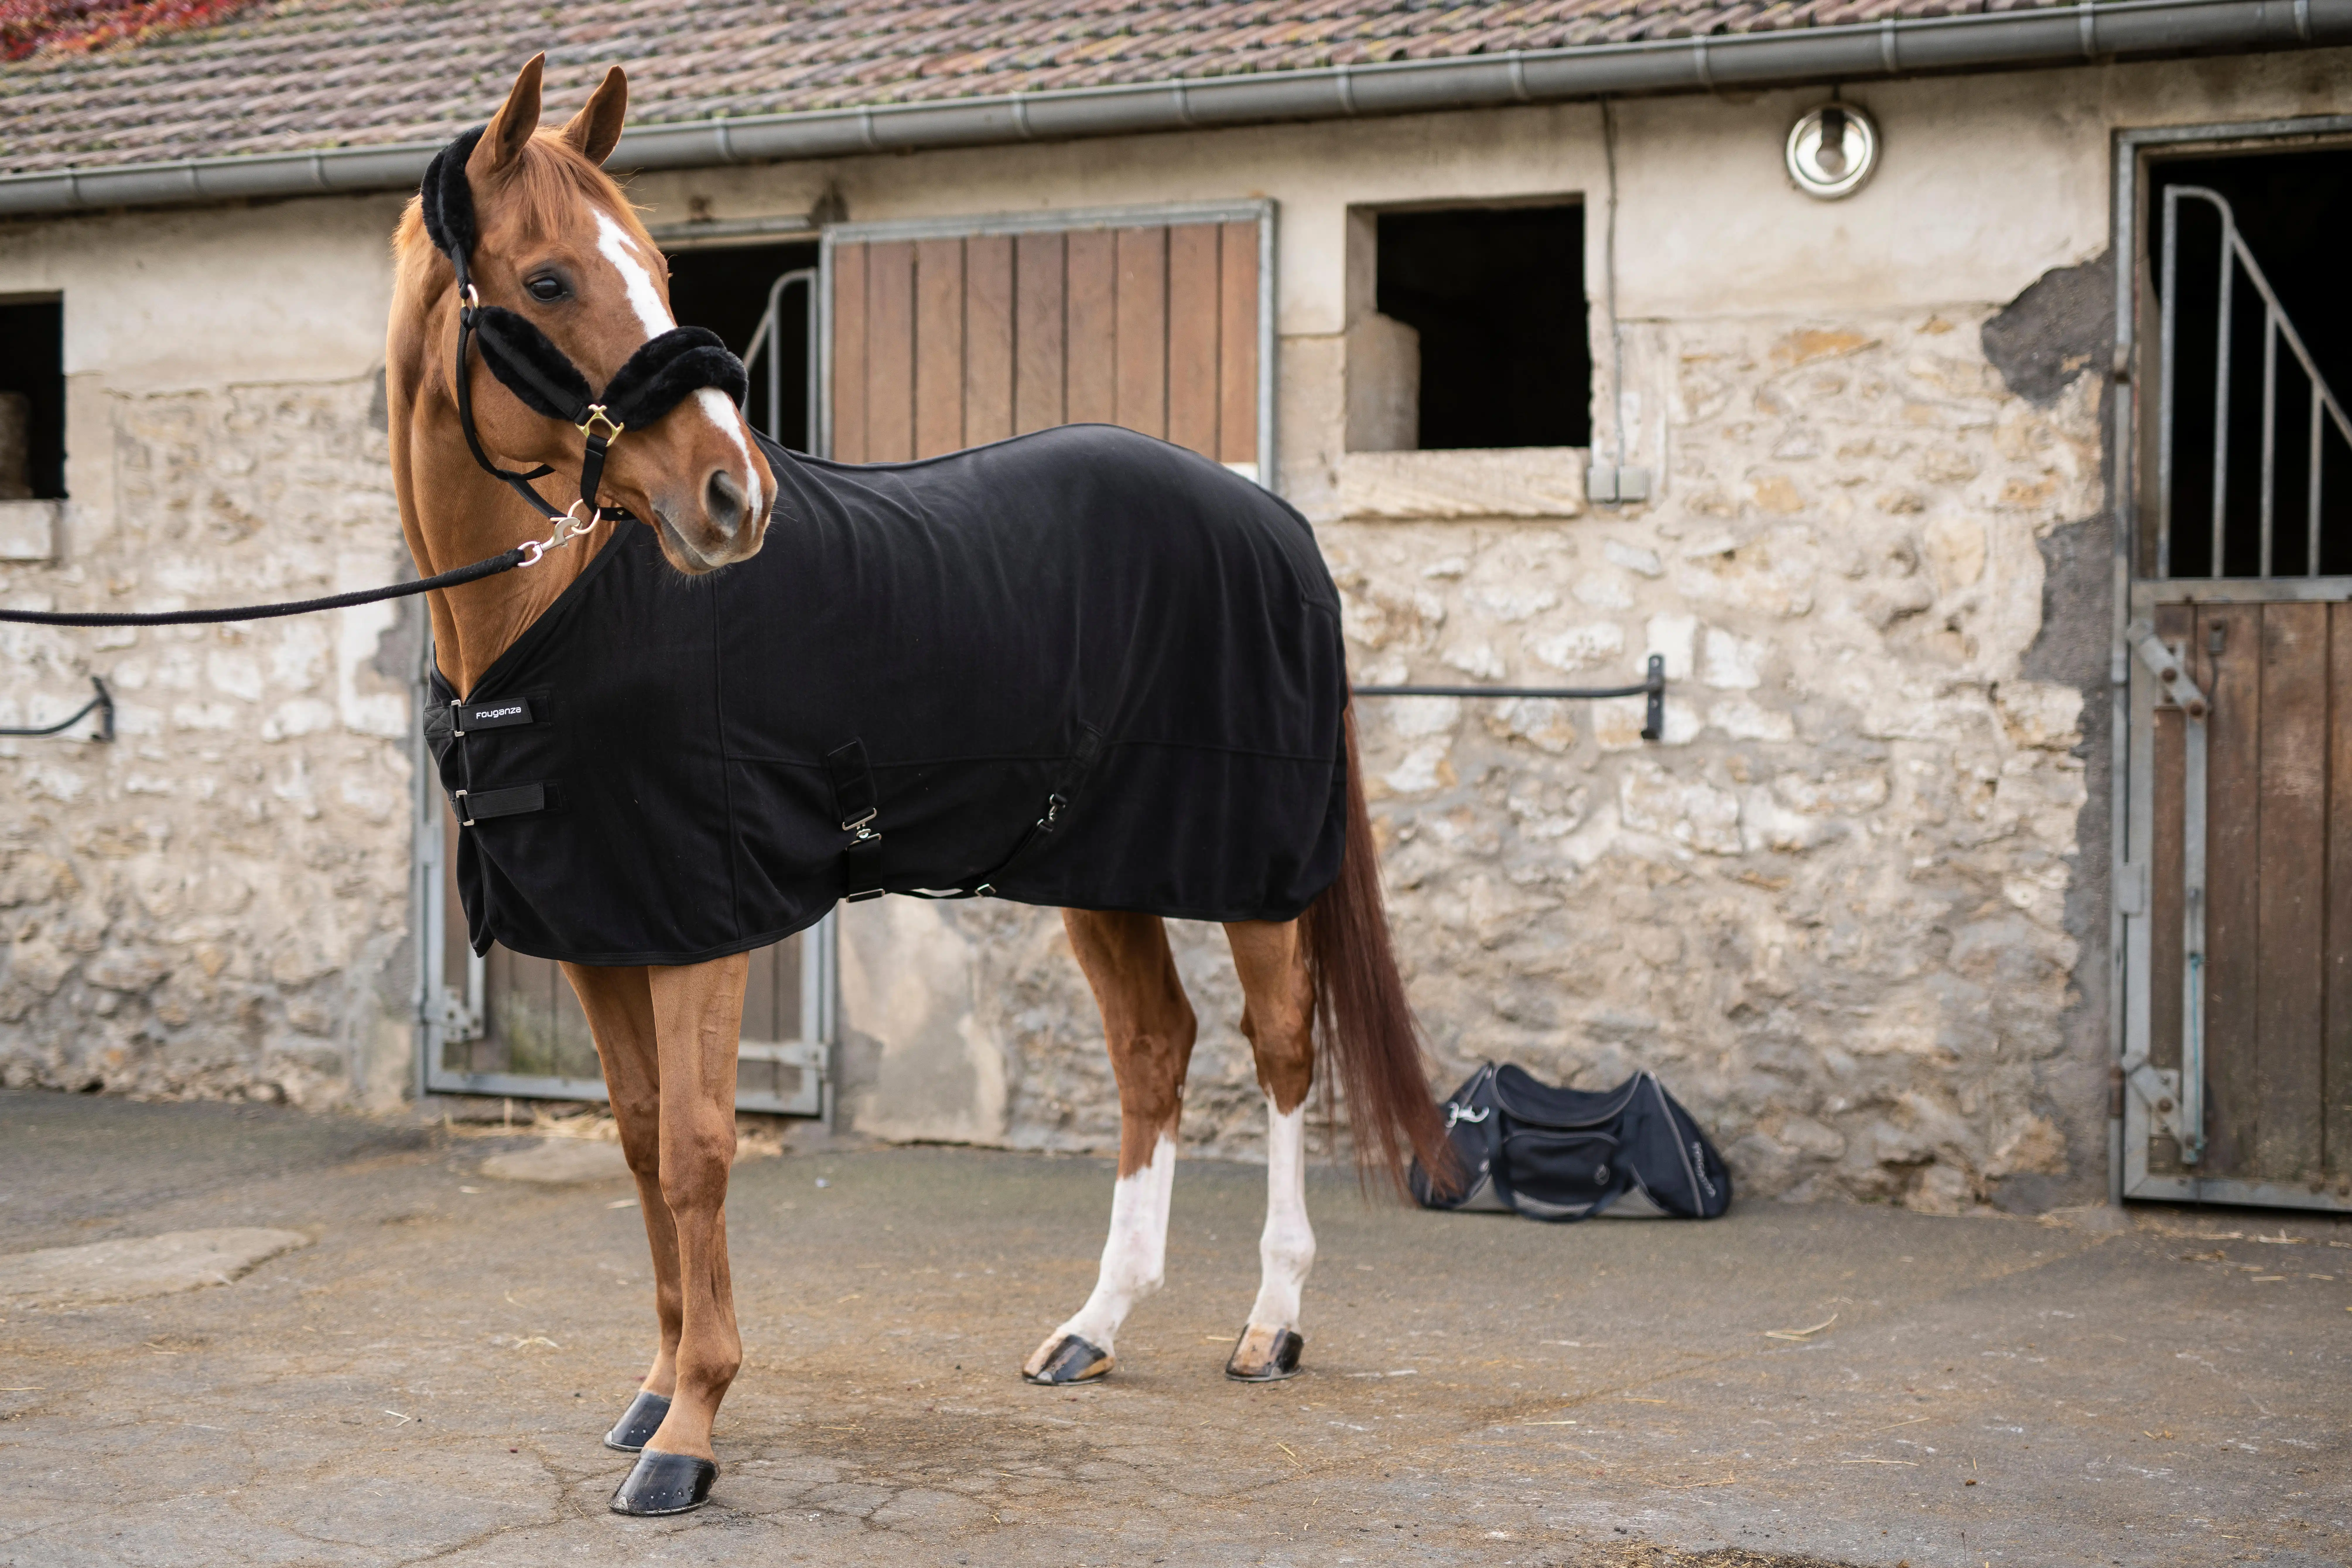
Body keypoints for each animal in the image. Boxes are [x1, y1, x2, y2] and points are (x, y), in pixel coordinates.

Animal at [386, 54, 1450, 1516]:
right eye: (546, 280)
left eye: (657, 266)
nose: (731, 498)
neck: (559, 611)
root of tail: (1270, 519)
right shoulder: (608, 931)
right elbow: (643, 1144)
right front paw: (653, 1387)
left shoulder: (709, 925)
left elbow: (702, 1151)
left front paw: (690, 1430)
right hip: (1098, 869)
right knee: (1153, 1048)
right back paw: (1092, 1327)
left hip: (1250, 871)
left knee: (1281, 1047)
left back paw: (1268, 1323)